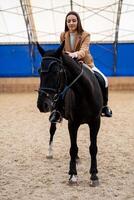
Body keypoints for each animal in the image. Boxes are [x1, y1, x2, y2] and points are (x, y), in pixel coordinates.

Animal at [36, 42, 102, 186]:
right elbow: (73, 148)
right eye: (38, 71)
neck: (84, 93)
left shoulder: (95, 122)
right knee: (52, 131)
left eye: (56, 71)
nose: (41, 105)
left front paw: (94, 175)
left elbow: (93, 148)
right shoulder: (72, 123)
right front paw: (73, 175)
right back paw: (50, 153)